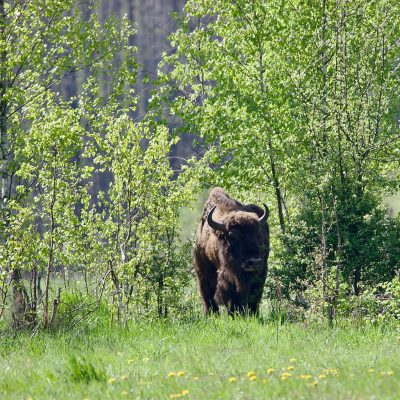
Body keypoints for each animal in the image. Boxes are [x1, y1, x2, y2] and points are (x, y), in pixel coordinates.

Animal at [193, 188, 268, 316]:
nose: (254, 262)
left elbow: (236, 297)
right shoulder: (202, 274)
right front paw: (211, 315)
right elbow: (208, 299)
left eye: (258, 235)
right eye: (232, 236)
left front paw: (235, 314)